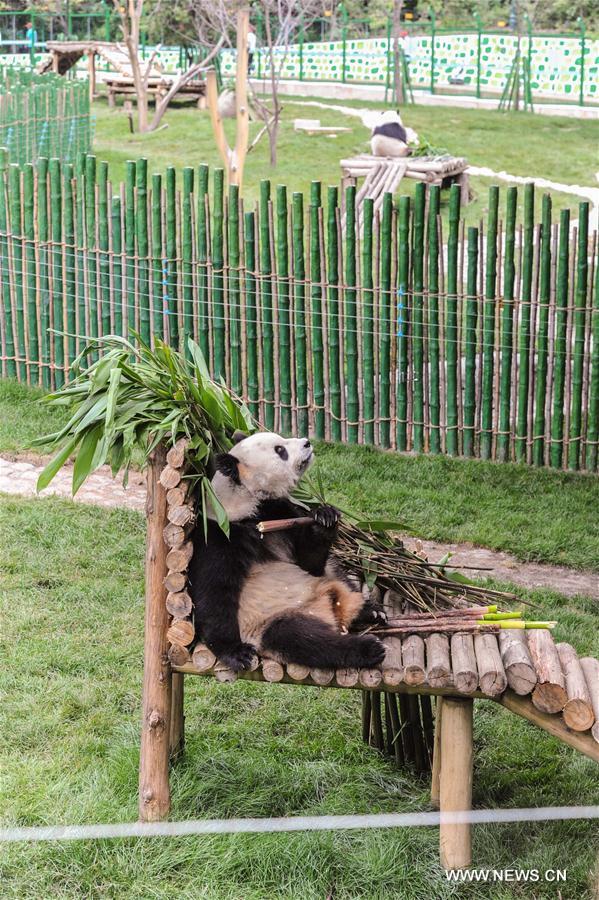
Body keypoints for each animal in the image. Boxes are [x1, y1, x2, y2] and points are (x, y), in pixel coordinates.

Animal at [187, 432, 387, 672]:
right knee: (303, 638)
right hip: (272, 620)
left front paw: (325, 517)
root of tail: (331, 611)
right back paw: (368, 648)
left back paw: (370, 611)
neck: (249, 504)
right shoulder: (221, 535)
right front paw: (236, 653)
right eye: (280, 450)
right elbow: (213, 592)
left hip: (331, 578)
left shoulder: (282, 514)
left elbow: (309, 562)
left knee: (337, 576)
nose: (307, 442)